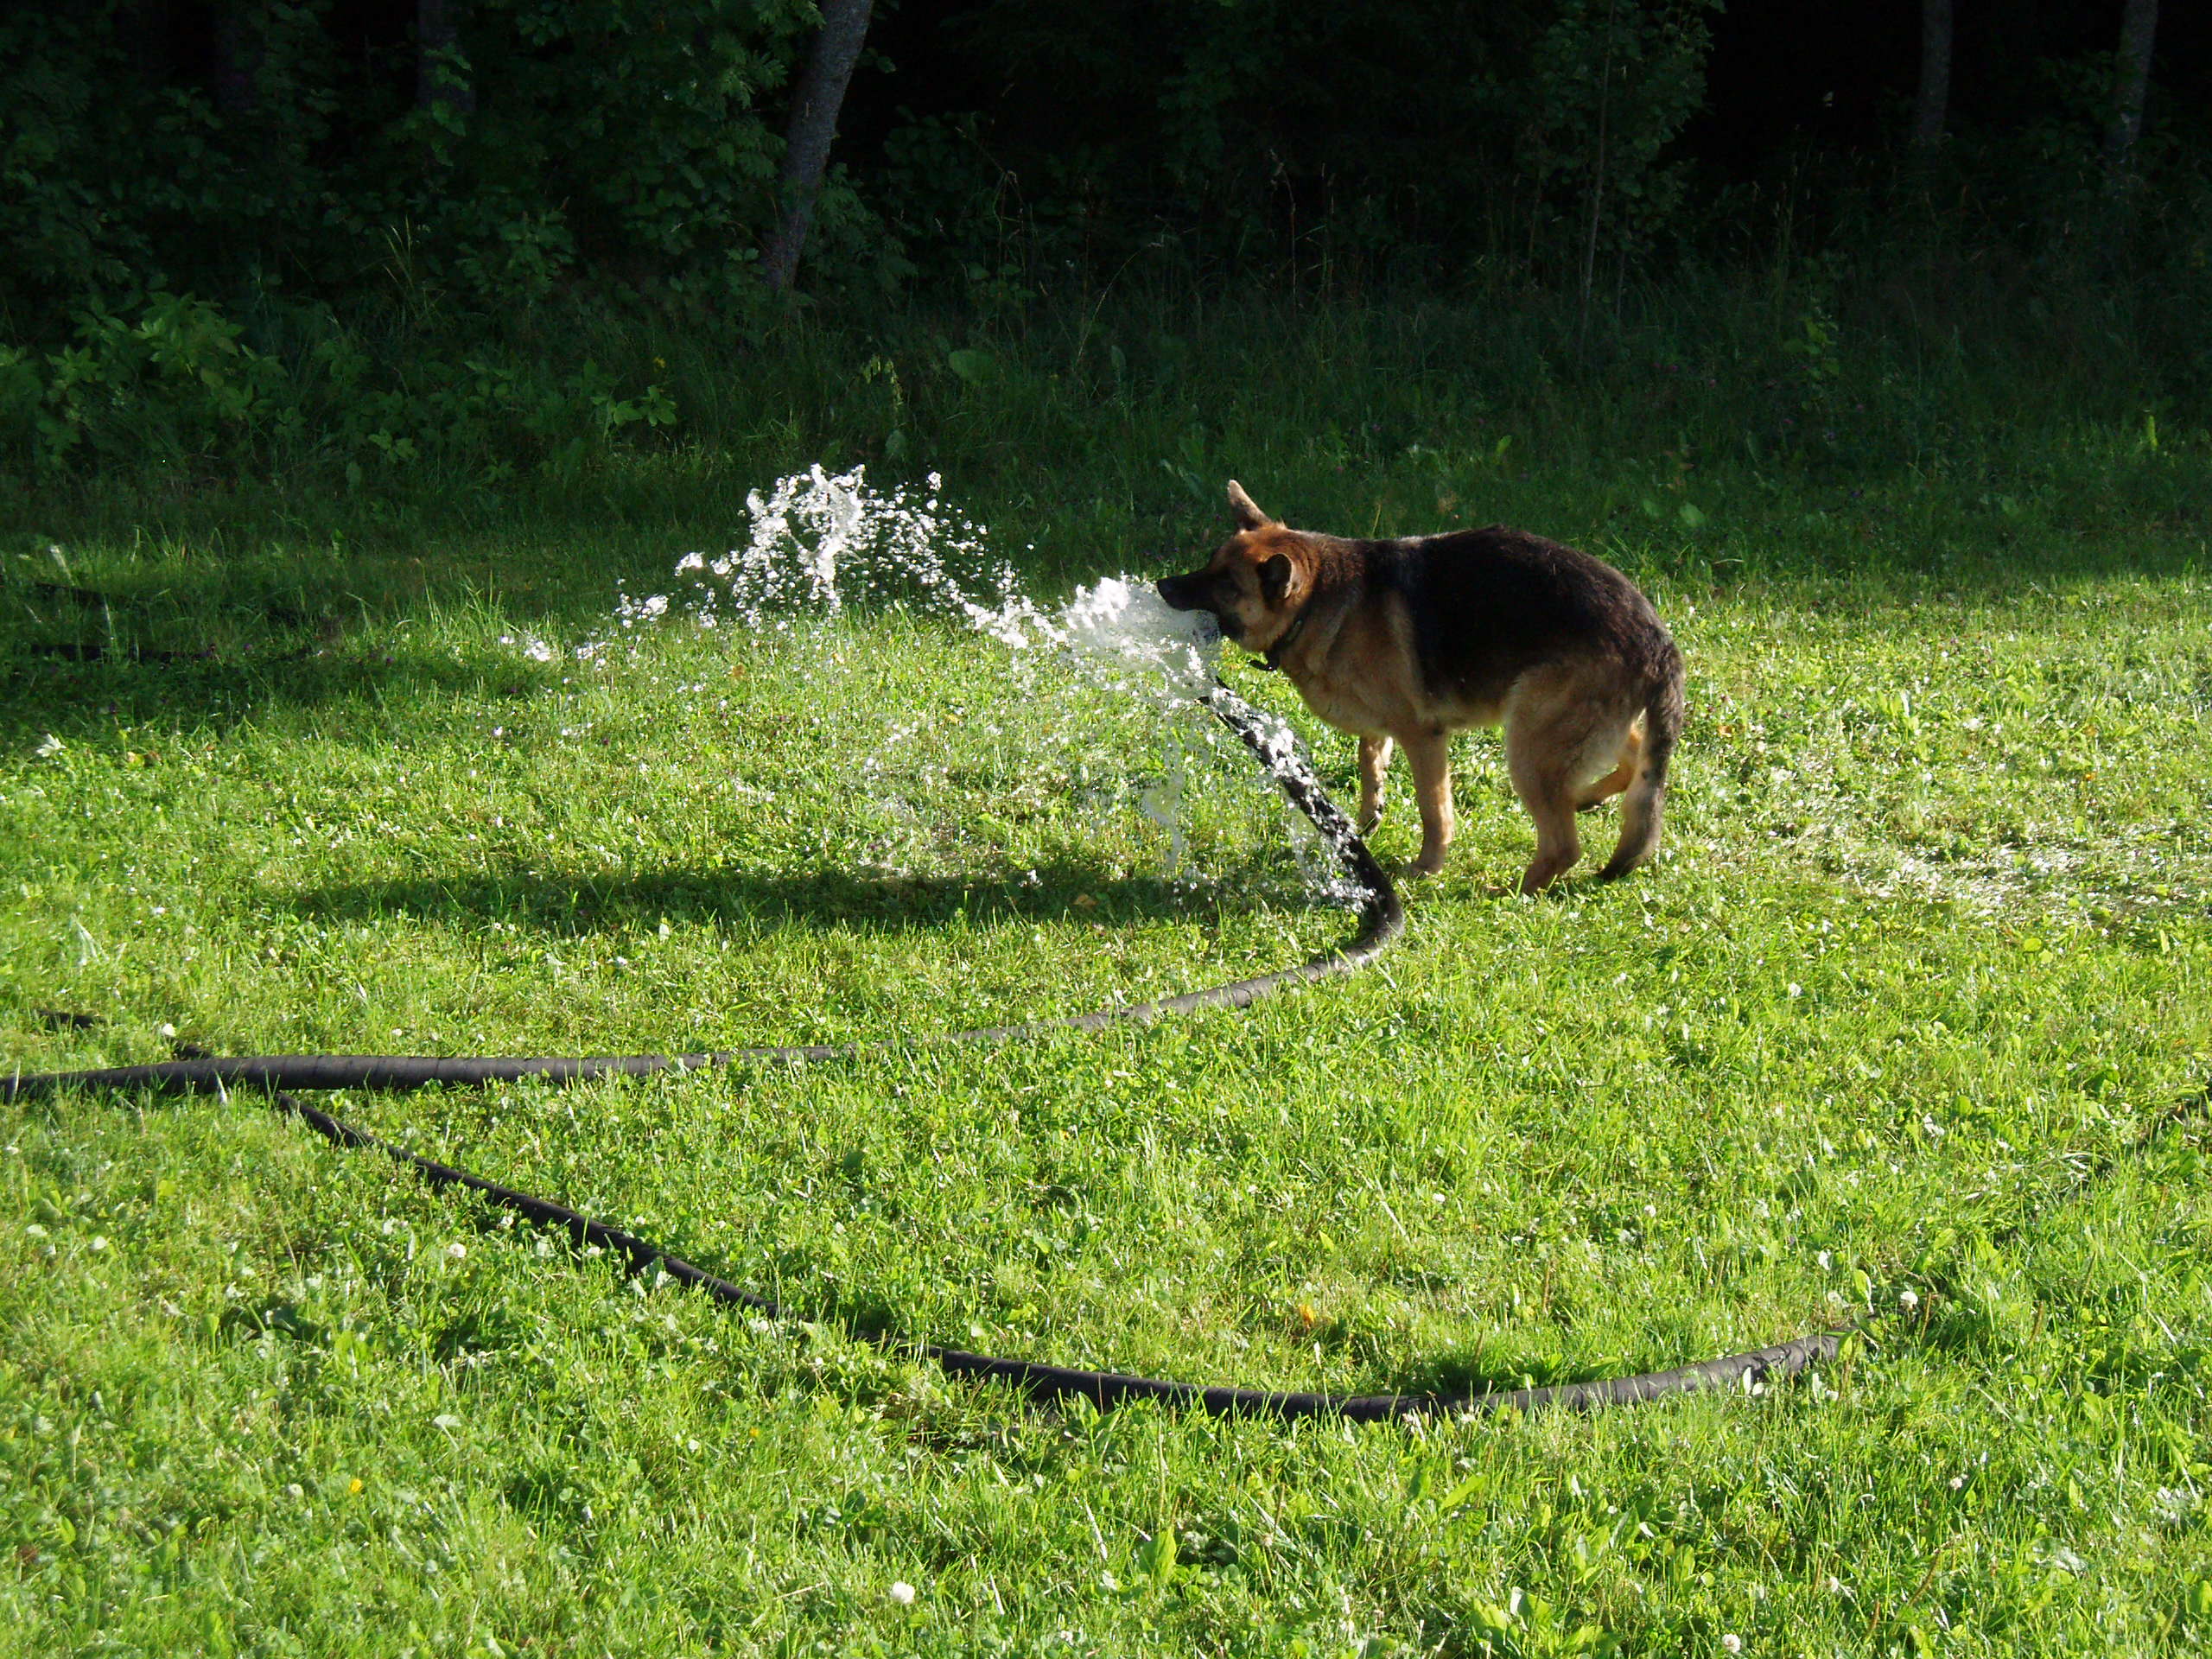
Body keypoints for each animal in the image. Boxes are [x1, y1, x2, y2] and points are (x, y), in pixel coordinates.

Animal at [1150, 480, 1681, 898]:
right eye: (1208, 563)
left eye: (1225, 585)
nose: (1161, 586)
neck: (1318, 599)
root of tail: (1658, 639)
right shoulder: (1379, 728)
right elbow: (1370, 770)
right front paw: (1363, 826)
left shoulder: (1423, 736)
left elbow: (1434, 811)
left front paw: (1427, 867)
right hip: (1568, 728)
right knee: (1634, 759)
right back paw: (1588, 797)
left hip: (1530, 741)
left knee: (1564, 845)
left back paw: (1514, 891)